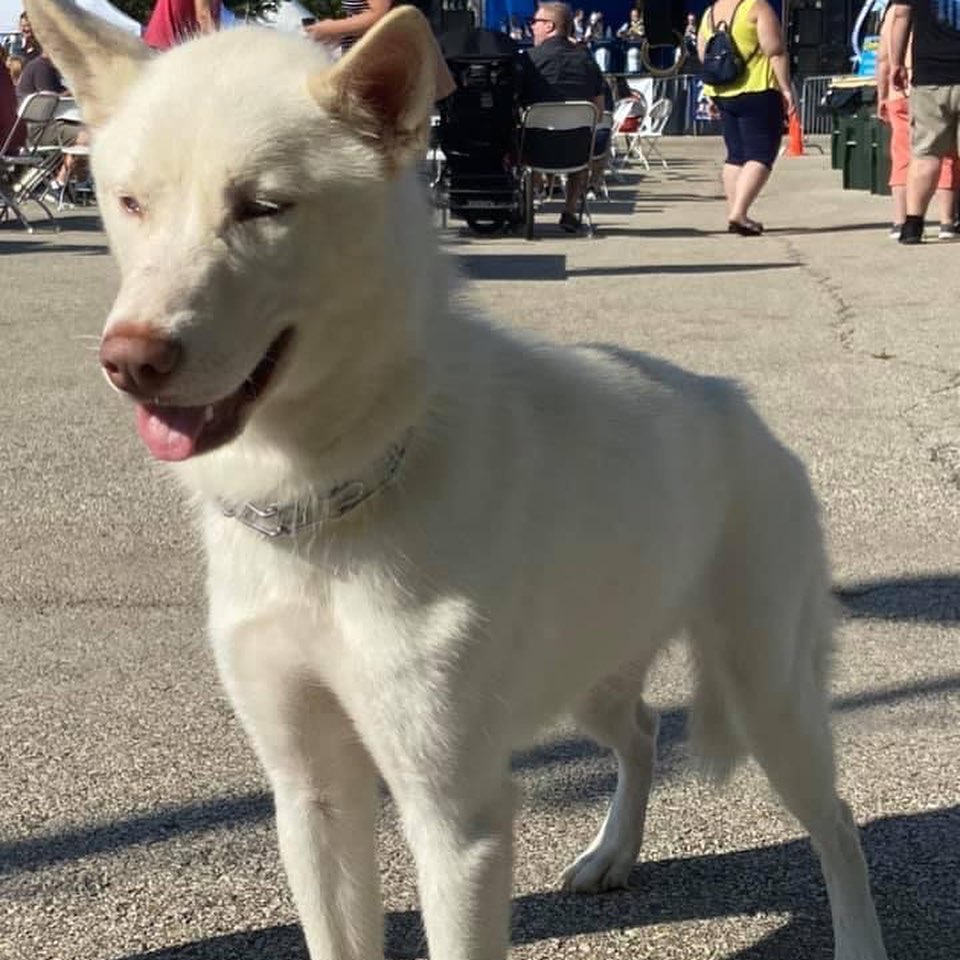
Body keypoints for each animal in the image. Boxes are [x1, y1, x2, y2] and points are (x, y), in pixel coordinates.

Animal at [24, 3, 884, 956]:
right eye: (131, 201)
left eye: (263, 207)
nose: (130, 361)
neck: (323, 500)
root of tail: (743, 409)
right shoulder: (311, 797)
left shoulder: (455, 818)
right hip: (588, 672)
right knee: (642, 732)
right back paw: (612, 853)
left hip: (767, 695)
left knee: (838, 820)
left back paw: (856, 933)